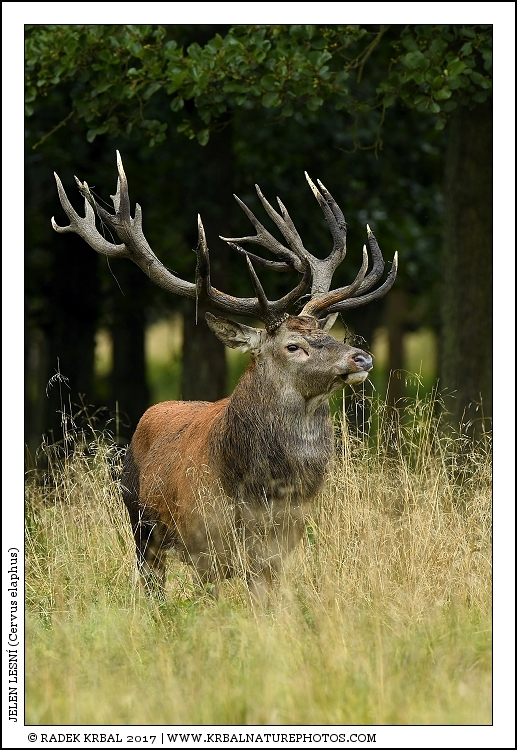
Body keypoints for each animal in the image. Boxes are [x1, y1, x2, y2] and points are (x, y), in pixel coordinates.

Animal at [52, 151, 397, 604]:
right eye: (293, 345)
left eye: (328, 333)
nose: (362, 357)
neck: (258, 491)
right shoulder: (205, 545)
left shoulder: (279, 548)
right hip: (140, 525)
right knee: (151, 589)